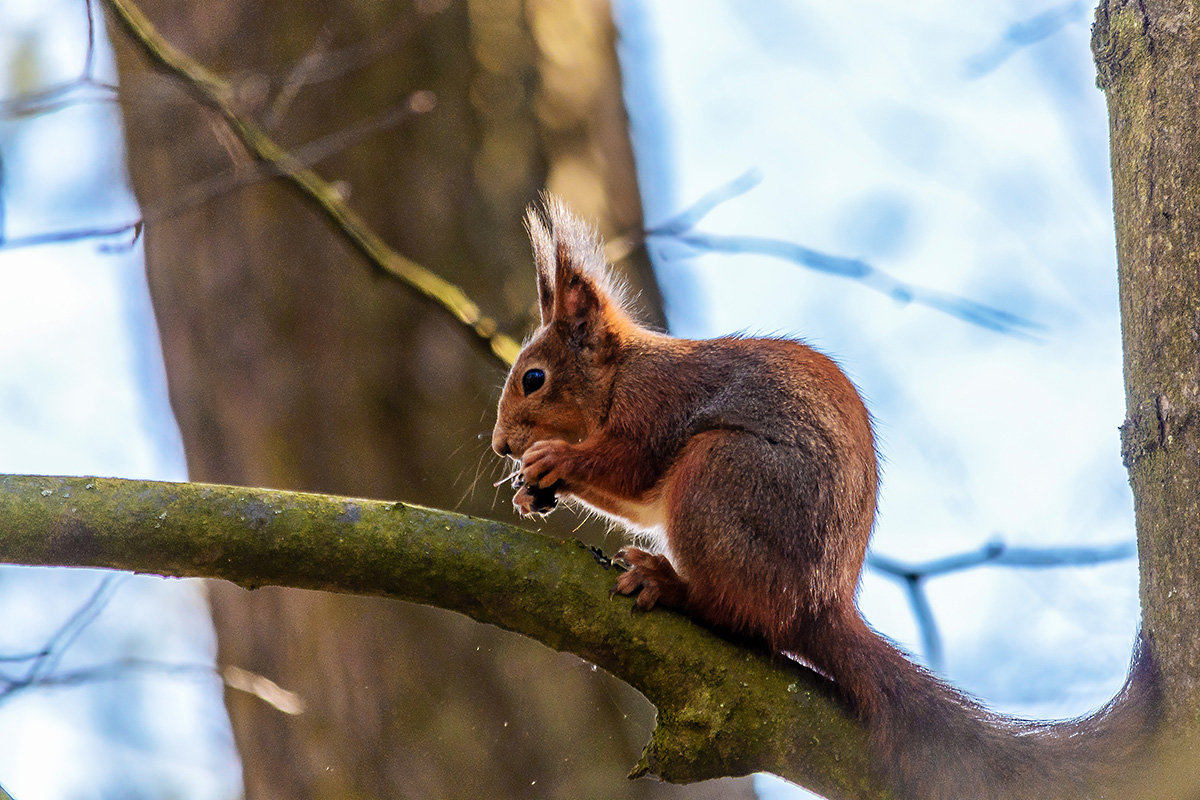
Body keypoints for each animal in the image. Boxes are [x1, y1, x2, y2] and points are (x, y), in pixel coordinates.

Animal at [492, 195, 1156, 800]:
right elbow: (633, 501)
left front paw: (554, 462)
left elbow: (631, 469)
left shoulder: (657, 407)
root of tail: (820, 603)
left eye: (534, 379)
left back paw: (670, 583)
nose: (500, 444)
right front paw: (531, 490)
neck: (622, 372)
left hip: (717, 480)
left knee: (740, 613)